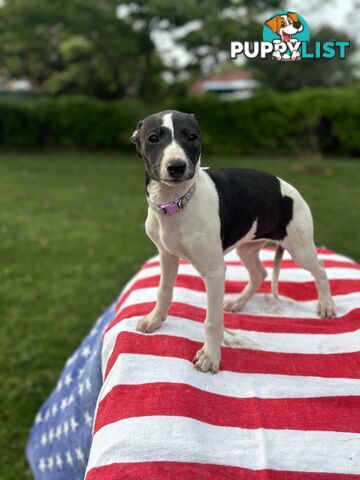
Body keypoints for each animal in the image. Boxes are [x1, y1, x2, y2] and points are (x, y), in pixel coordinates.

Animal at [131, 110, 336, 374]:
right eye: (153, 138)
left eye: (191, 137)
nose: (176, 167)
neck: (175, 202)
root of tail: (290, 187)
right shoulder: (167, 256)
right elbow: (163, 291)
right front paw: (155, 320)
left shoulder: (214, 272)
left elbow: (212, 321)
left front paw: (210, 356)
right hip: (247, 248)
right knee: (259, 273)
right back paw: (238, 302)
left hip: (300, 249)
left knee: (320, 270)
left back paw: (326, 305)